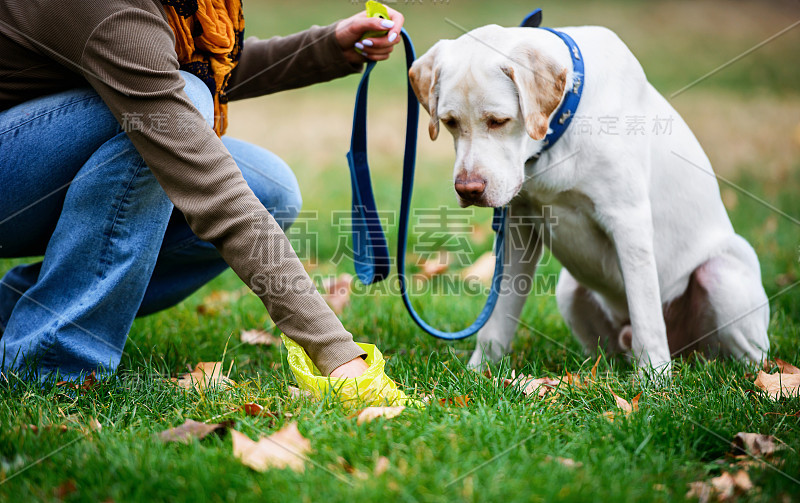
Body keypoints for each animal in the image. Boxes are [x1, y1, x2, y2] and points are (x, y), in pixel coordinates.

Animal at [412, 24, 768, 378]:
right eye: (450, 122)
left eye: (498, 120)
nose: (468, 190)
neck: (556, 136)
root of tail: (686, 352)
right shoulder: (517, 228)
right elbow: (498, 316)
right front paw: (480, 373)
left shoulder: (629, 223)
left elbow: (647, 318)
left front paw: (654, 380)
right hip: (568, 290)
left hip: (721, 274)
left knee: (748, 357)